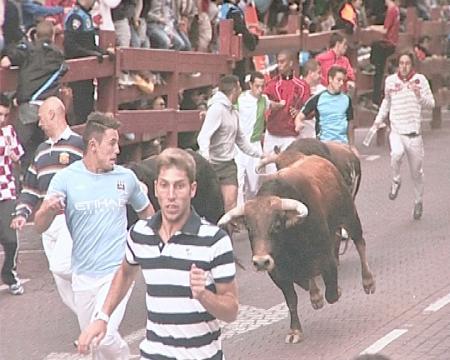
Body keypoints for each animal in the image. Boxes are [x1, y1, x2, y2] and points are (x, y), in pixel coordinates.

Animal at [218, 153, 376, 342]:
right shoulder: (277, 273)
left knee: (360, 244)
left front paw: (333, 291)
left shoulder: (326, 258)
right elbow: (292, 300)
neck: (291, 245)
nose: (261, 262)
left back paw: (368, 281)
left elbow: (331, 292)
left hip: (350, 216)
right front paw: (295, 330)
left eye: (277, 225)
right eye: (249, 228)